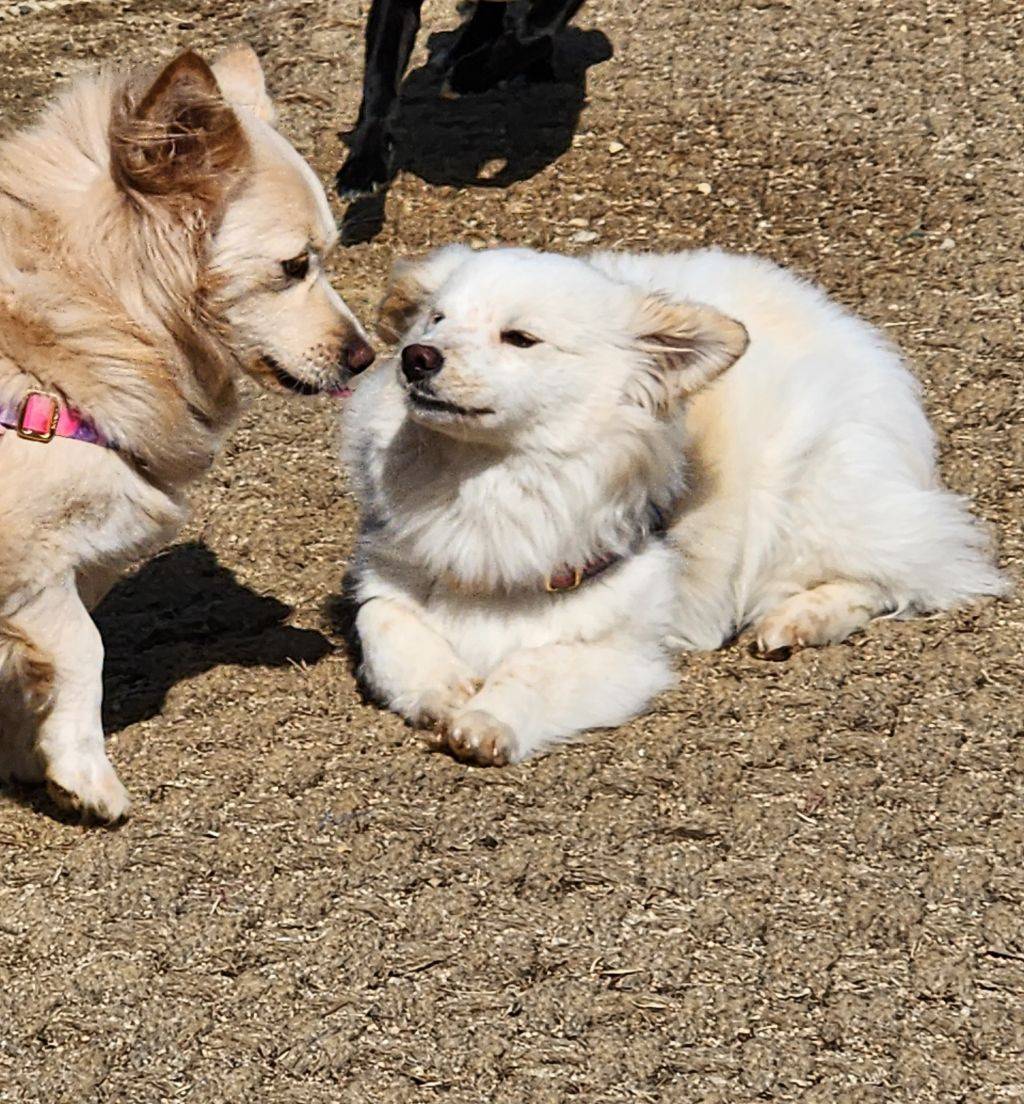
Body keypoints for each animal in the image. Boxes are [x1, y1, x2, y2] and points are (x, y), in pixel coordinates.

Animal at [0, 47, 375, 821]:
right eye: (295, 266)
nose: (367, 356)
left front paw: (28, 756)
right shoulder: (28, 556)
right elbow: (83, 648)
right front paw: (84, 775)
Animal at [344, 245, 1006, 768]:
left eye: (520, 338)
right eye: (435, 320)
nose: (417, 357)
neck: (484, 480)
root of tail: (840, 320)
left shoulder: (622, 649)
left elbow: (534, 669)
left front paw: (486, 719)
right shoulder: (391, 577)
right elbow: (383, 625)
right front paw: (443, 689)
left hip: (811, 496)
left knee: (893, 574)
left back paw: (794, 620)